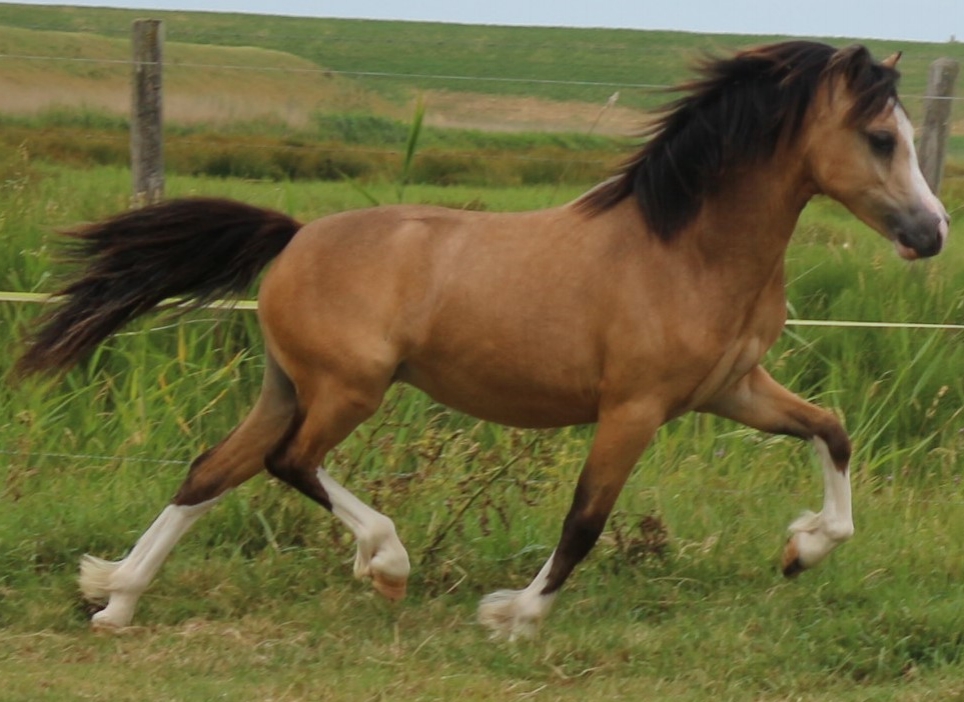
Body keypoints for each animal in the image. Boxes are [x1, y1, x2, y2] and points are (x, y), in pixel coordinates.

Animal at [15, 41, 948, 640]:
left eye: (906, 136)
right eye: (880, 137)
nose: (932, 232)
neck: (686, 250)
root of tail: (296, 236)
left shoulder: (731, 389)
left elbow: (833, 431)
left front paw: (804, 549)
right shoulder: (634, 407)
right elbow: (584, 521)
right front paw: (514, 616)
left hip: (288, 385)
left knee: (212, 470)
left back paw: (115, 599)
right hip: (348, 388)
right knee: (290, 462)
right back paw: (384, 562)